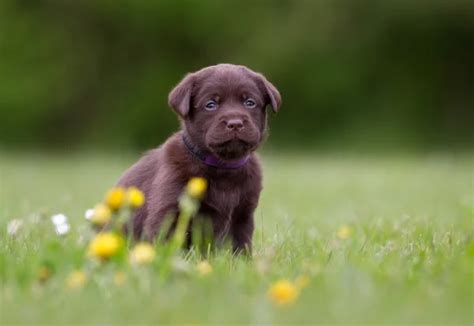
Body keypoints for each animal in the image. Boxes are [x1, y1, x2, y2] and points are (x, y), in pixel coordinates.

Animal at [118, 63, 280, 252]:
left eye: (250, 102)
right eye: (211, 104)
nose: (235, 123)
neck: (224, 166)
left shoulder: (243, 215)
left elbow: (241, 246)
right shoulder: (169, 211)